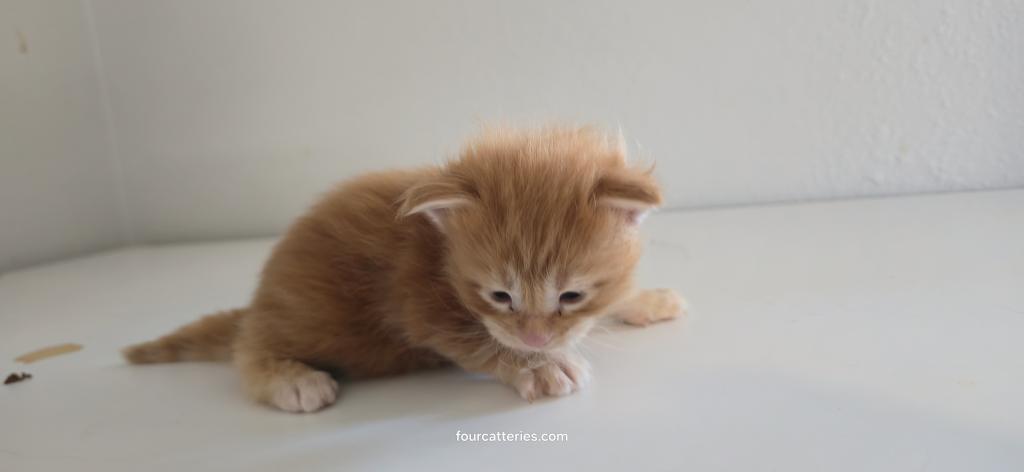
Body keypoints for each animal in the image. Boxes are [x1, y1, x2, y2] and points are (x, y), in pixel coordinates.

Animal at [123, 126, 684, 413]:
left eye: (571, 296)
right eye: (499, 297)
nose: (536, 339)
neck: (439, 249)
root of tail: (259, 302)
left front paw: (648, 300)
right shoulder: (417, 300)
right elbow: (479, 342)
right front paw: (538, 366)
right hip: (303, 319)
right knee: (247, 349)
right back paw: (292, 380)